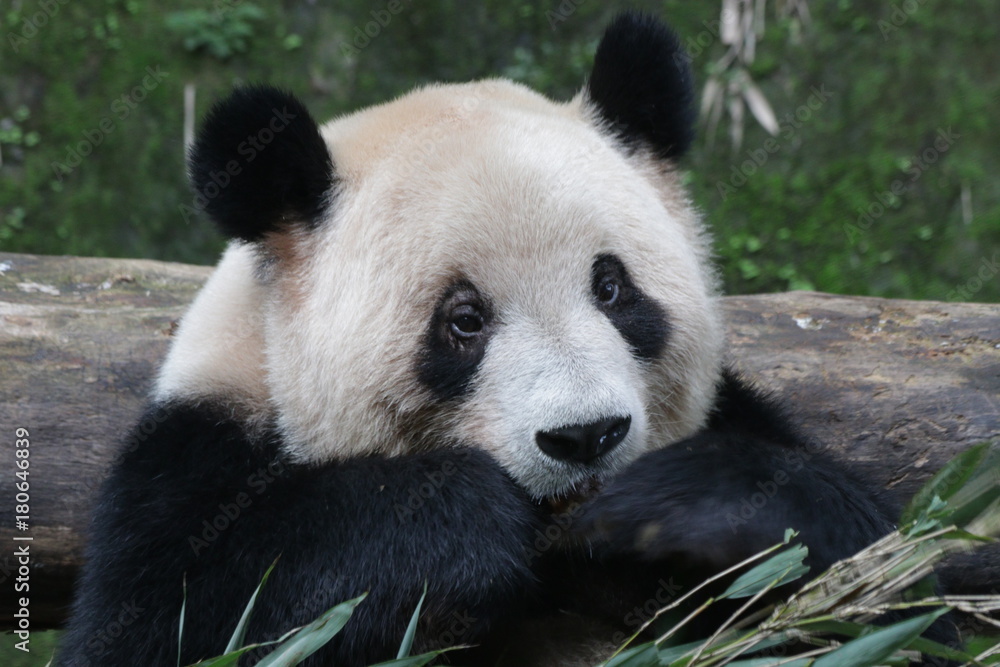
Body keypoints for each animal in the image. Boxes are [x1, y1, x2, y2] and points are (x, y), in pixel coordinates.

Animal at [58, 12, 898, 667]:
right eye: (464, 318)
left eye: (610, 287)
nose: (585, 435)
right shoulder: (199, 450)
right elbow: (175, 621)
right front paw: (459, 520)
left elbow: (888, 575)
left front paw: (689, 507)